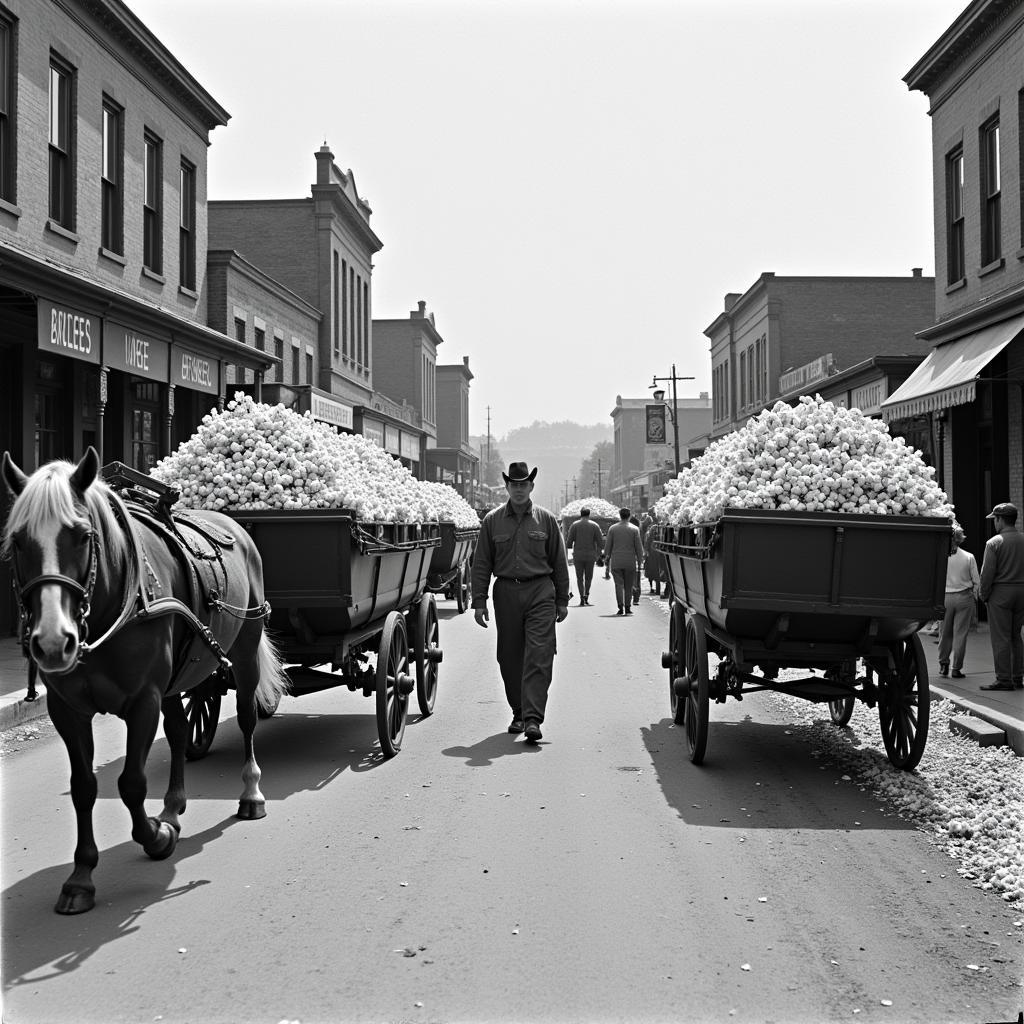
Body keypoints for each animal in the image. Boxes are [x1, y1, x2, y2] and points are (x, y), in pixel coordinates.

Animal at [2, 446, 290, 913]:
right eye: (17, 541)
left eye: (82, 536)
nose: (52, 642)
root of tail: (234, 525)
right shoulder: (68, 710)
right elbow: (84, 787)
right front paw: (81, 877)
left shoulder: (143, 701)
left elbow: (132, 783)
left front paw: (156, 836)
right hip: (176, 679)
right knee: (178, 732)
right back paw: (172, 808)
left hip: (245, 650)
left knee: (247, 718)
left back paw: (250, 794)